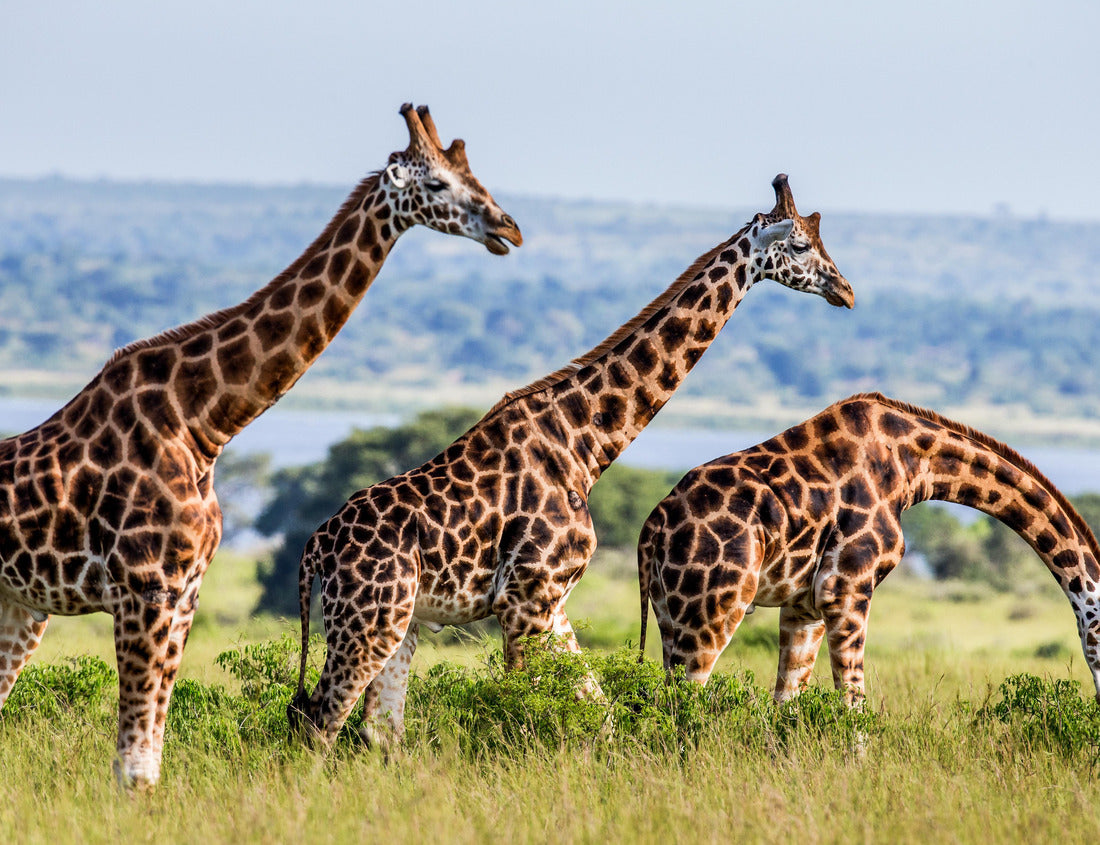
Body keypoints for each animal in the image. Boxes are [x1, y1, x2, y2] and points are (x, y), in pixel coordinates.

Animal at [0, 103, 522, 789]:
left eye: (476, 175)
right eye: (437, 183)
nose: (509, 228)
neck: (203, 422)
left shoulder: (184, 594)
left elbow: (148, 757)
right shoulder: (147, 590)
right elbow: (135, 768)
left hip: (18, 606)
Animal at [289, 174, 855, 749]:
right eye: (801, 246)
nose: (846, 291)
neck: (584, 446)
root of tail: (314, 551)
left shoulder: (552, 601)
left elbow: (599, 712)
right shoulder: (524, 600)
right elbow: (521, 707)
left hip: (397, 623)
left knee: (377, 728)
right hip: (367, 619)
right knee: (319, 718)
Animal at [638, 392, 1100, 707]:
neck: (913, 466)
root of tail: (653, 526)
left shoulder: (804, 606)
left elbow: (787, 701)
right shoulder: (846, 589)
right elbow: (853, 703)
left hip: (669, 612)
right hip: (714, 609)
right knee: (683, 699)